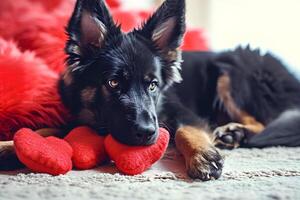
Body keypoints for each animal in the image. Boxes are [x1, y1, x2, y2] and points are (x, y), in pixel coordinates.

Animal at [59, 0, 300, 180]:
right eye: (113, 83)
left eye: (153, 85)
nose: (147, 132)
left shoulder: (181, 111)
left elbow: (185, 130)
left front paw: (202, 156)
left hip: (231, 67)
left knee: (264, 122)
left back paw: (235, 132)